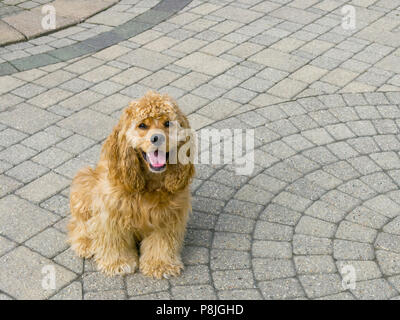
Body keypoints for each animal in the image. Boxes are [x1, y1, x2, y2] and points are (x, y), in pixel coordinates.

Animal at [67, 90, 195, 278]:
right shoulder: (112, 213)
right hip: (84, 180)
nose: (157, 138)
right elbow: (114, 240)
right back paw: (86, 243)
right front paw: (118, 263)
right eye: (142, 126)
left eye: (167, 123)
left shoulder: (168, 216)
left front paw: (160, 264)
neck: (150, 182)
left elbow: (162, 242)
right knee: (79, 225)